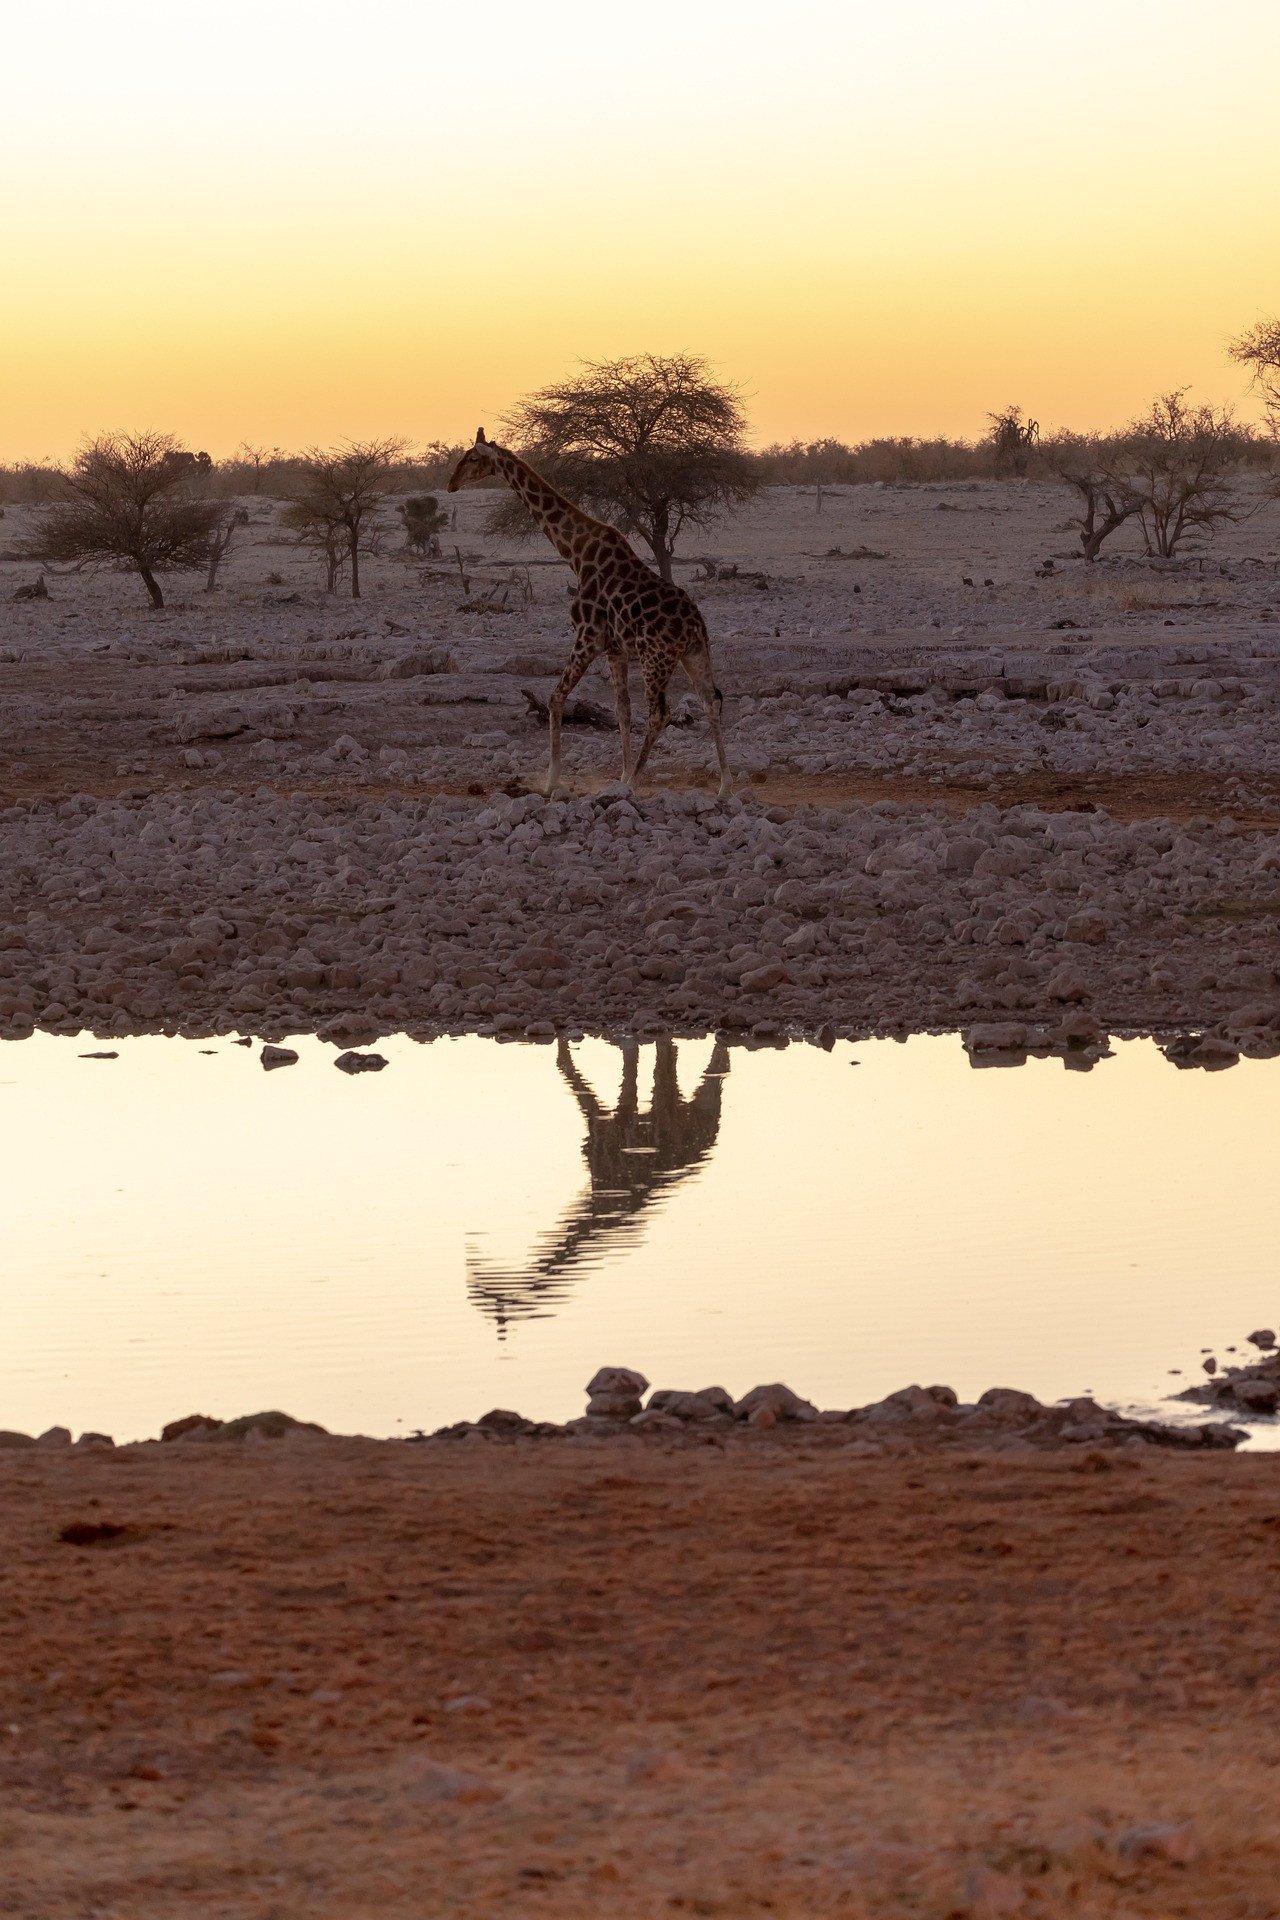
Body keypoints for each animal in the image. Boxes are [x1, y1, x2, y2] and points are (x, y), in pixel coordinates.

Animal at [447, 431, 731, 797]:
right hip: (694, 653)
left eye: (471, 458)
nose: (450, 484)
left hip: (656, 659)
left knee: (660, 713)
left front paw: (552, 781)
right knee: (711, 699)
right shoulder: (615, 648)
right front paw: (619, 776)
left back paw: (637, 783)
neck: (576, 553)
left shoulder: (588, 636)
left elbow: (556, 699)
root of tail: (694, 625)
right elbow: (622, 711)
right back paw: (724, 786)